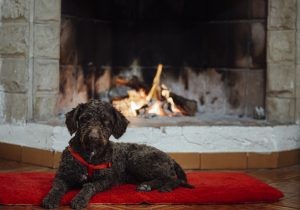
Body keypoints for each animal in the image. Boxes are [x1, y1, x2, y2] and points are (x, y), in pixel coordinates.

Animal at [42, 99, 195, 209]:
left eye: (106, 121)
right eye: (85, 118)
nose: (93, 137)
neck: (90, 155)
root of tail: (170, 157)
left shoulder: (106, 180)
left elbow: (89, 186)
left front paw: (79, 199)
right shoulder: (62, 176)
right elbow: (57, 187)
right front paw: (50, 199)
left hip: (139, 160)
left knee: (172, 178)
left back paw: (162, 186)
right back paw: (147, 185)